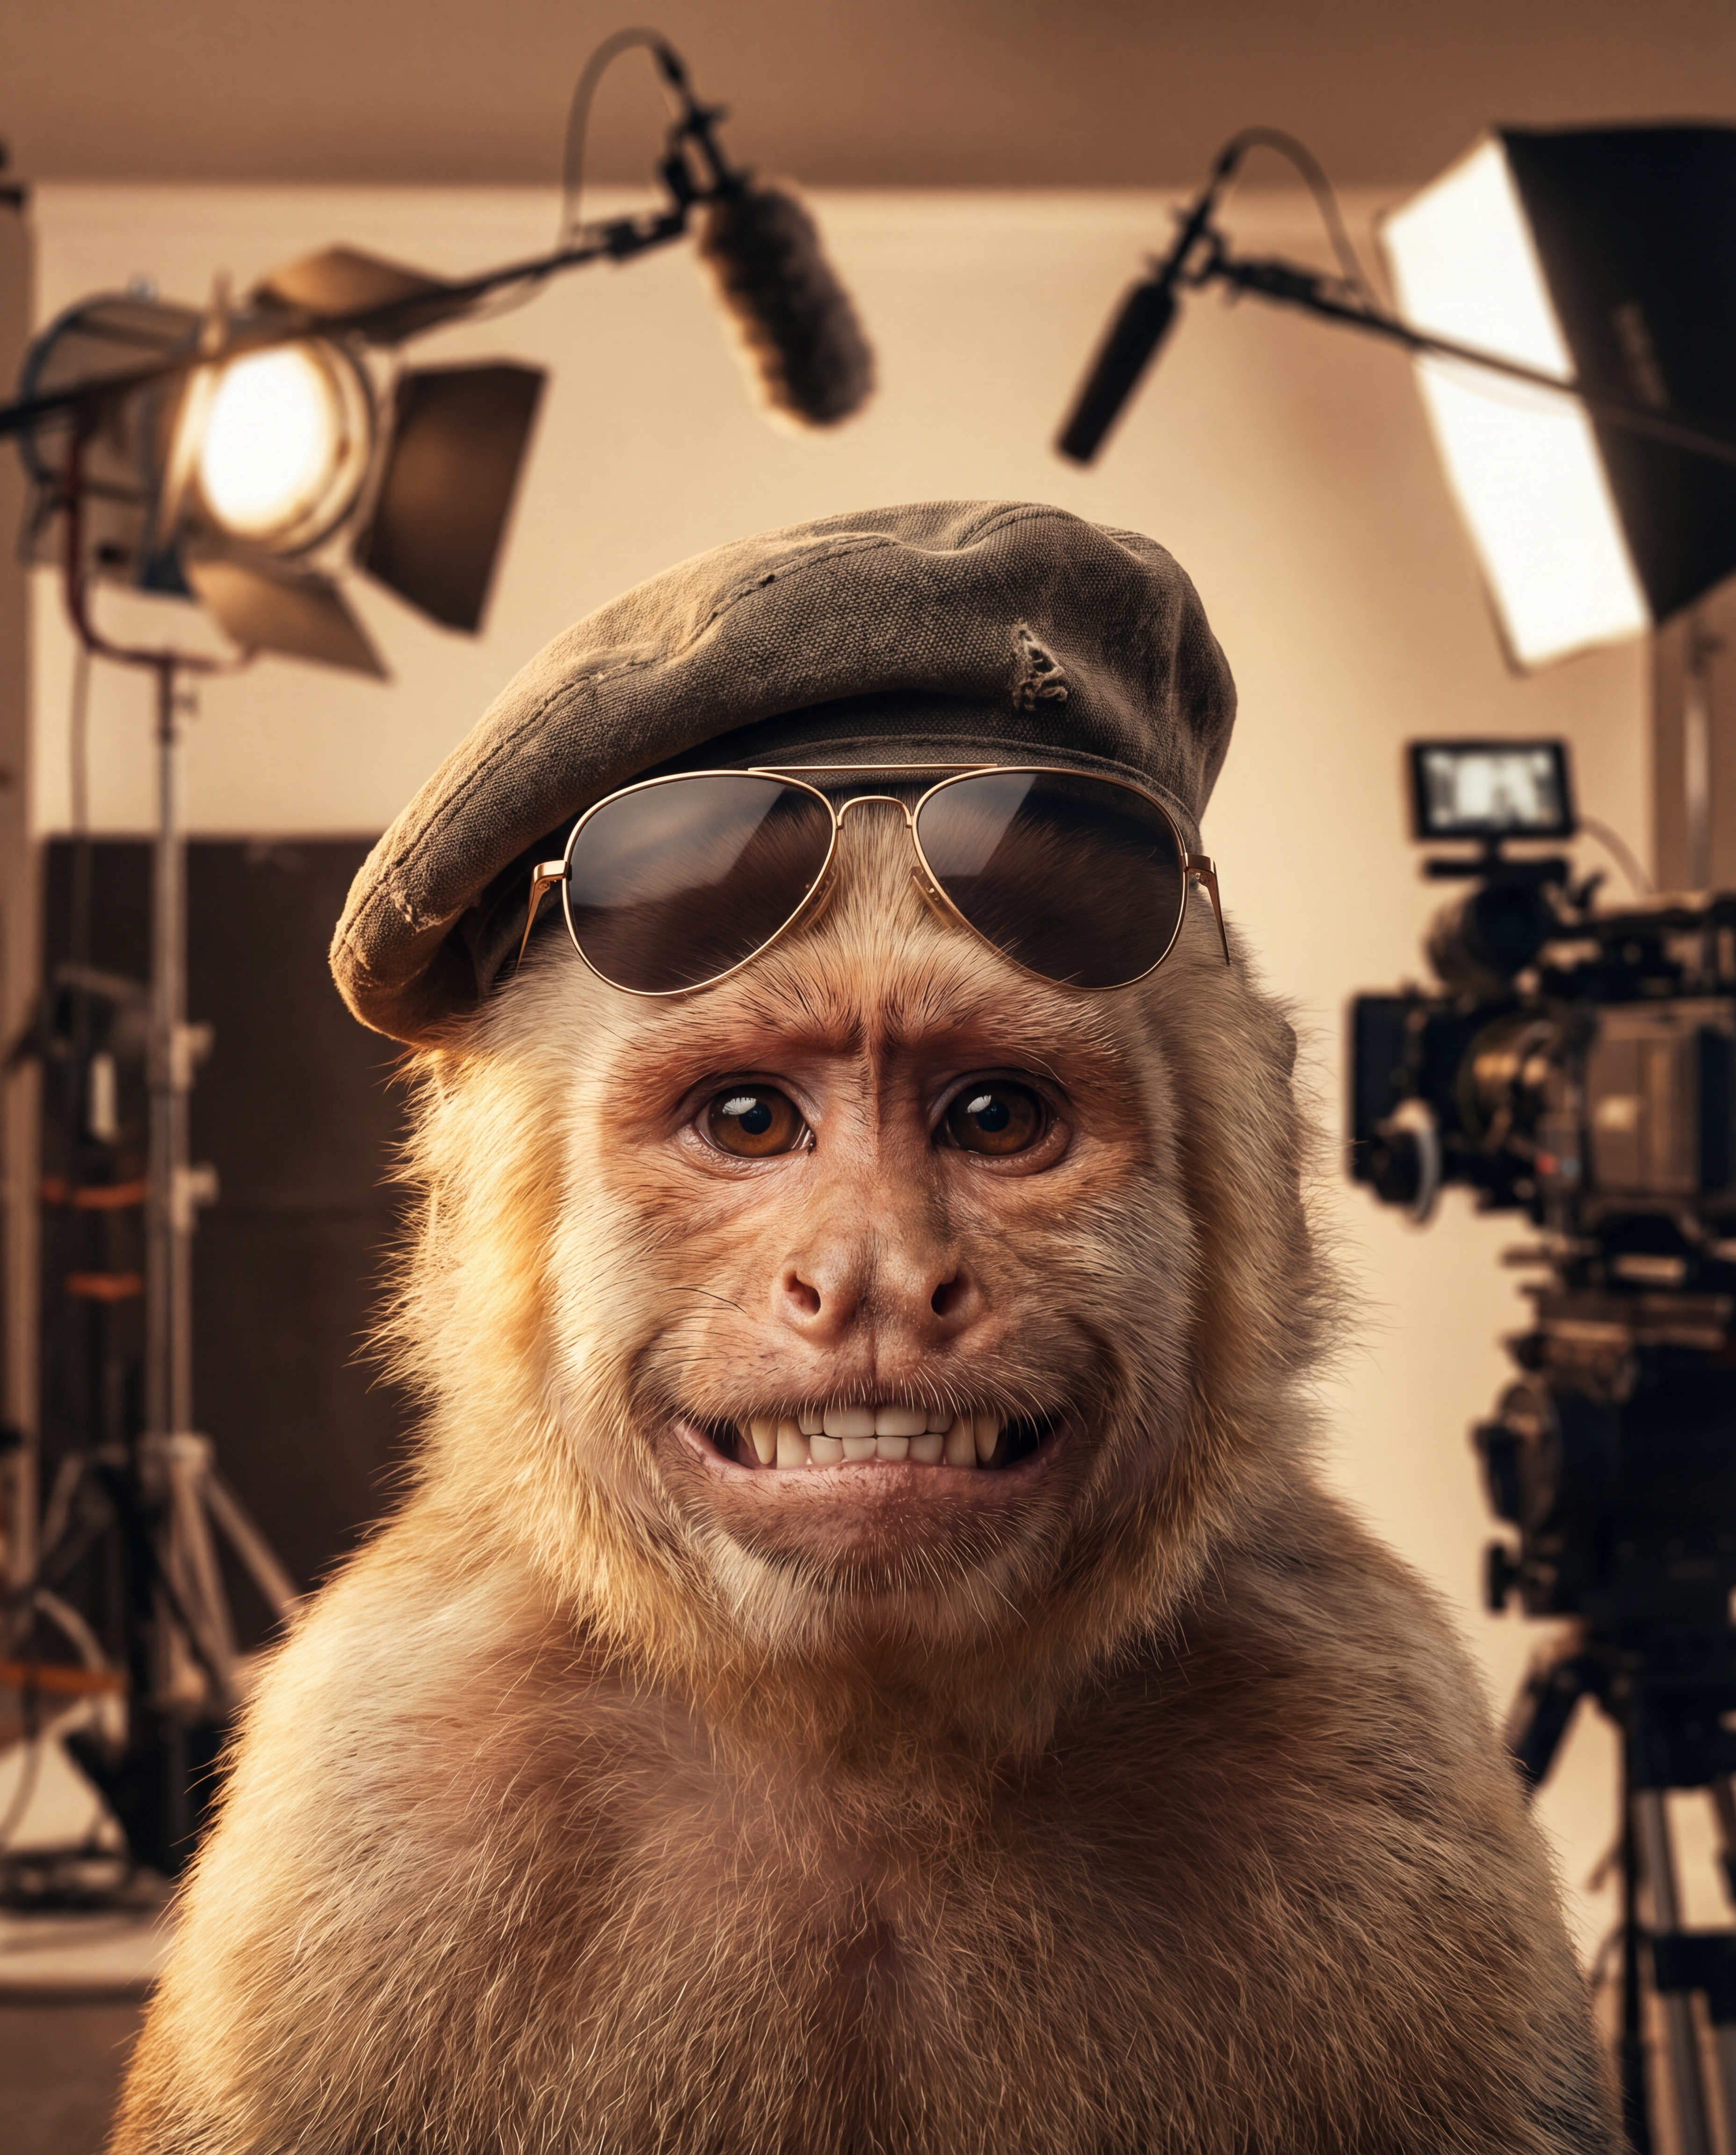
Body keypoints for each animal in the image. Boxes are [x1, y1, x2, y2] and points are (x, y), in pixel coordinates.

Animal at [109, 793, 1618, 2155]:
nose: (877, 1281)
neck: (869, 1744)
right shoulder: (363, 1786)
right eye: (749, 1121)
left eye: (996, 1118)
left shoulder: (1382, 1746)